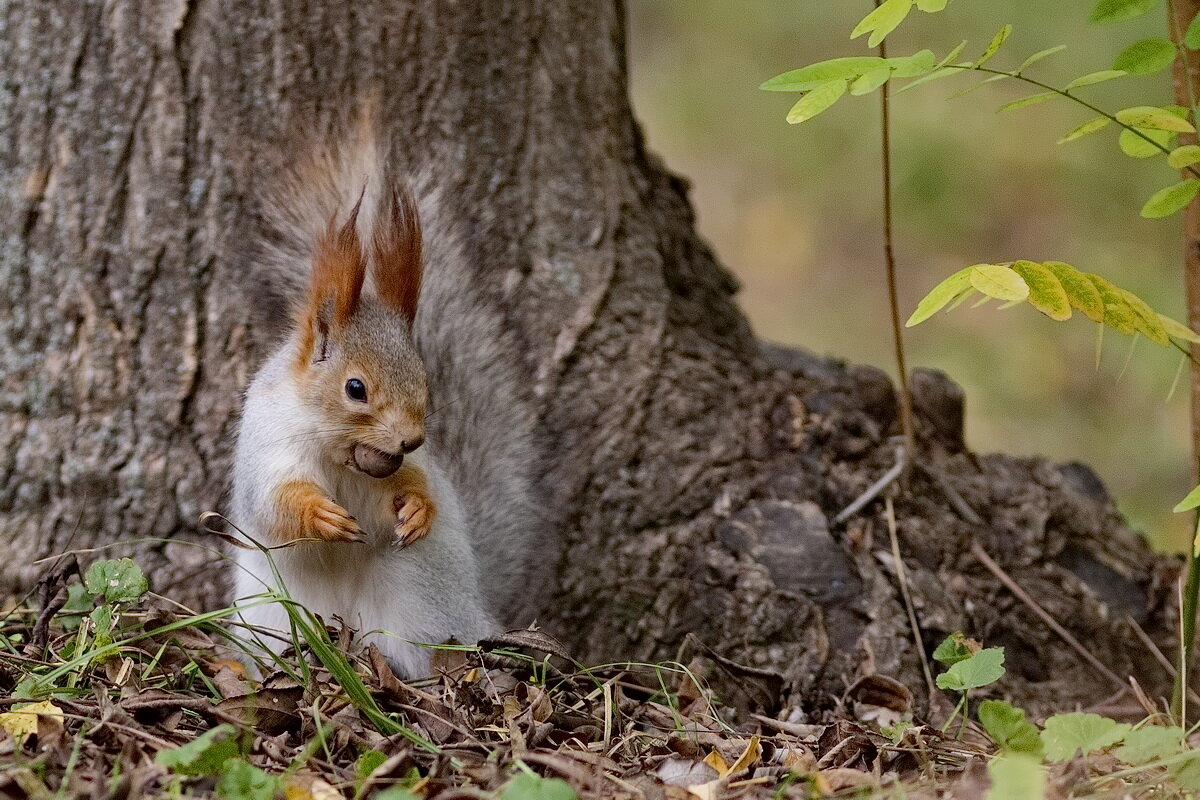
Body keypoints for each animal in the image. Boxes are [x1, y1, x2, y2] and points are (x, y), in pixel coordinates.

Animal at [228, 118, 544, 676]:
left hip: (417, 589)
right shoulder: (267, 444)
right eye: (355, 388)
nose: (412, 439)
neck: (341, 456)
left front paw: (418, 507)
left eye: (425, 377)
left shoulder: (406, 466)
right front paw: (320, 515)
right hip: (273, 610)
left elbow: (417, 482)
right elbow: (274, 502)